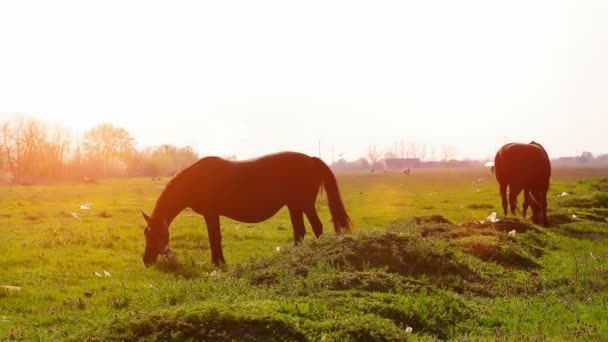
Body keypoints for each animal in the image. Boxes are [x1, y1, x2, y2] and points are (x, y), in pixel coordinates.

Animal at [142, 152, 352, 268]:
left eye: (154, 235)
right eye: (146, 234)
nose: (146, 261)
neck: (195, 179)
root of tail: (311, 159)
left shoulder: (211, 214)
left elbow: (214, 238)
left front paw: (217, 263)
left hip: (304, 204)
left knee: (317, 227)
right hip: (294, 206)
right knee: (300, 231)